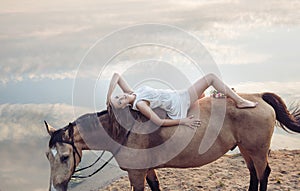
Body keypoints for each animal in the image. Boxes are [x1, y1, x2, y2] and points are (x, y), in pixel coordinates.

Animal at [44, 92, 300, 190]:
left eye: (64, 157)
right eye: (48, 156)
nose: (55, 188)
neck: (123, 131)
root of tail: (257, 98)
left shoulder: (135, 174)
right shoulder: (146, 170)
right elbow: (156, 186)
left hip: (257, 150)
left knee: (263, 174)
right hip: (246, 149)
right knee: (253, 174)